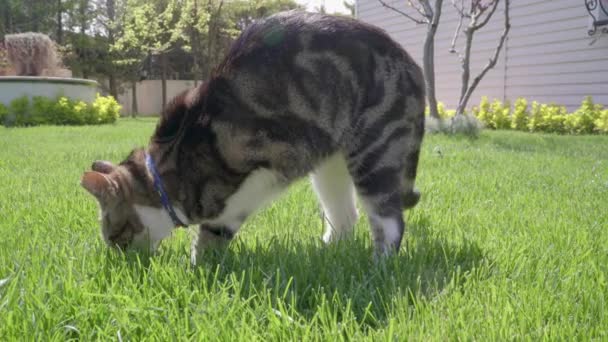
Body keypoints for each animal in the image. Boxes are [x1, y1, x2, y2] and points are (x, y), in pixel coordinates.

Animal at [81, 10, 426, 262]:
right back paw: (326, 255)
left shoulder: (263, 168)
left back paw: (378, 265)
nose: (118, 259)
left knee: (389, 221)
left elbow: (215, 228)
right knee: (345, 216)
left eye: (113, 235)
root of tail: (411, 63)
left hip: (375, 152)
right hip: (331, 166)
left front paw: (198, 269)